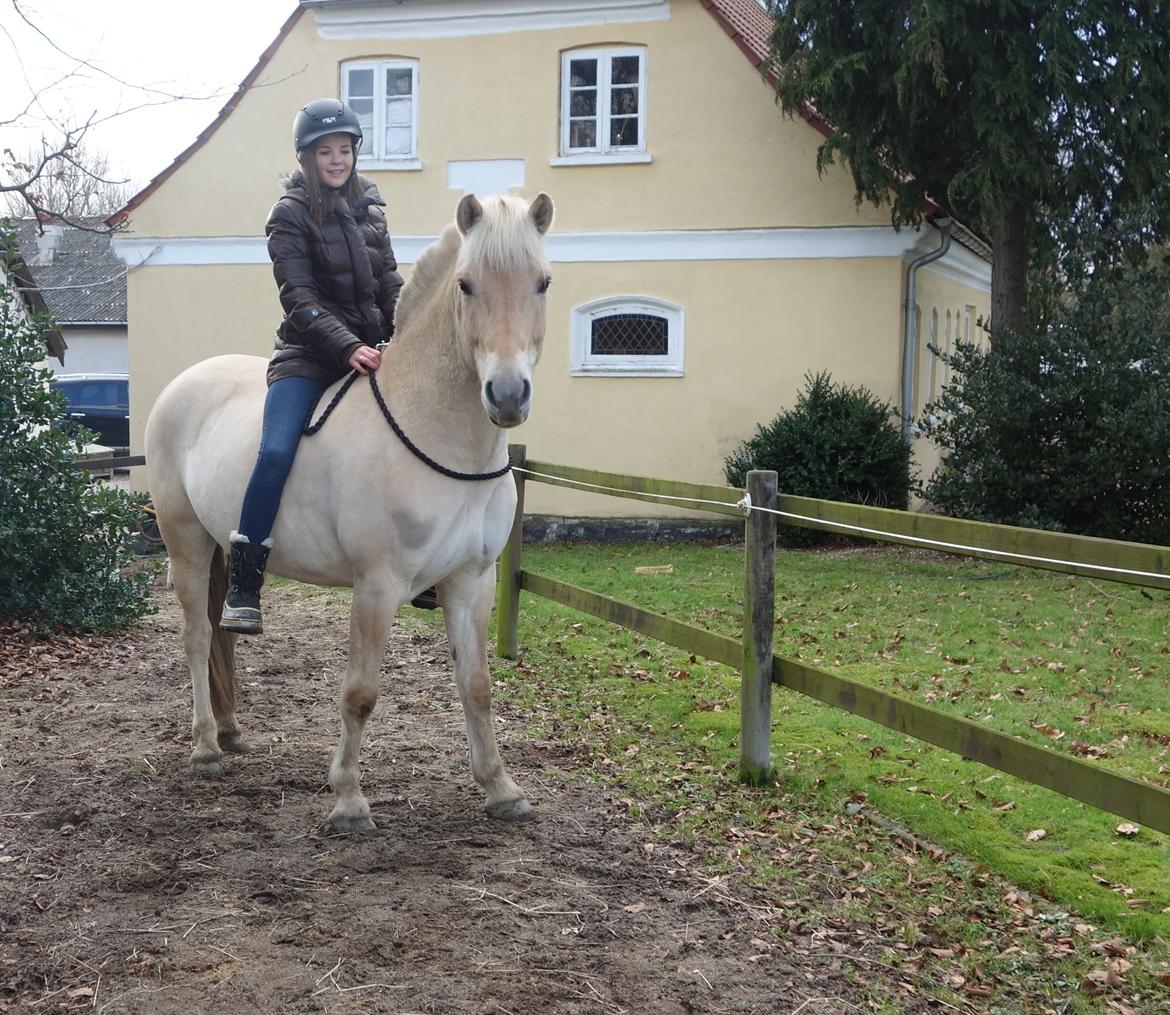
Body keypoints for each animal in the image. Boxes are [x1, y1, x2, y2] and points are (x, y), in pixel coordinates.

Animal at [143, 191, 554, 832]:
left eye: (542, 282)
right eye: (466, 285)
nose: (507, 396)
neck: (434, 432)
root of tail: (181, 385)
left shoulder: (473, 582)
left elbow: (478, 685)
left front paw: (501, 789)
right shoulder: (377, 586)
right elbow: (360, 692)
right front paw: (348, 801)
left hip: (218, 548)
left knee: (218, 636)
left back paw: (229, 731)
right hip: (184, 542)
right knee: (195, 635)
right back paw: (207, 746)